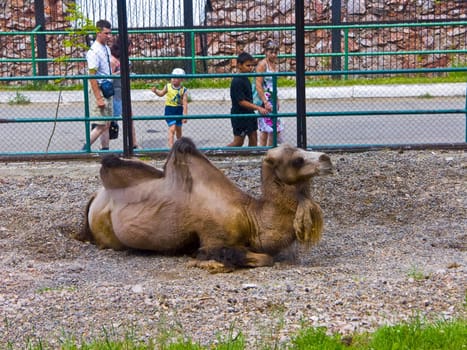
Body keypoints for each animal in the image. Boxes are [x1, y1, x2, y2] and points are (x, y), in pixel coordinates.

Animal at [77, 137, 332, 274]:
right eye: (296, 159)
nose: (326, 159)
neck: (250, 215)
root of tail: (96, 197)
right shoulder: (213, 238)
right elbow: (260, 258)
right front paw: (207, 263)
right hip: (107, 232)